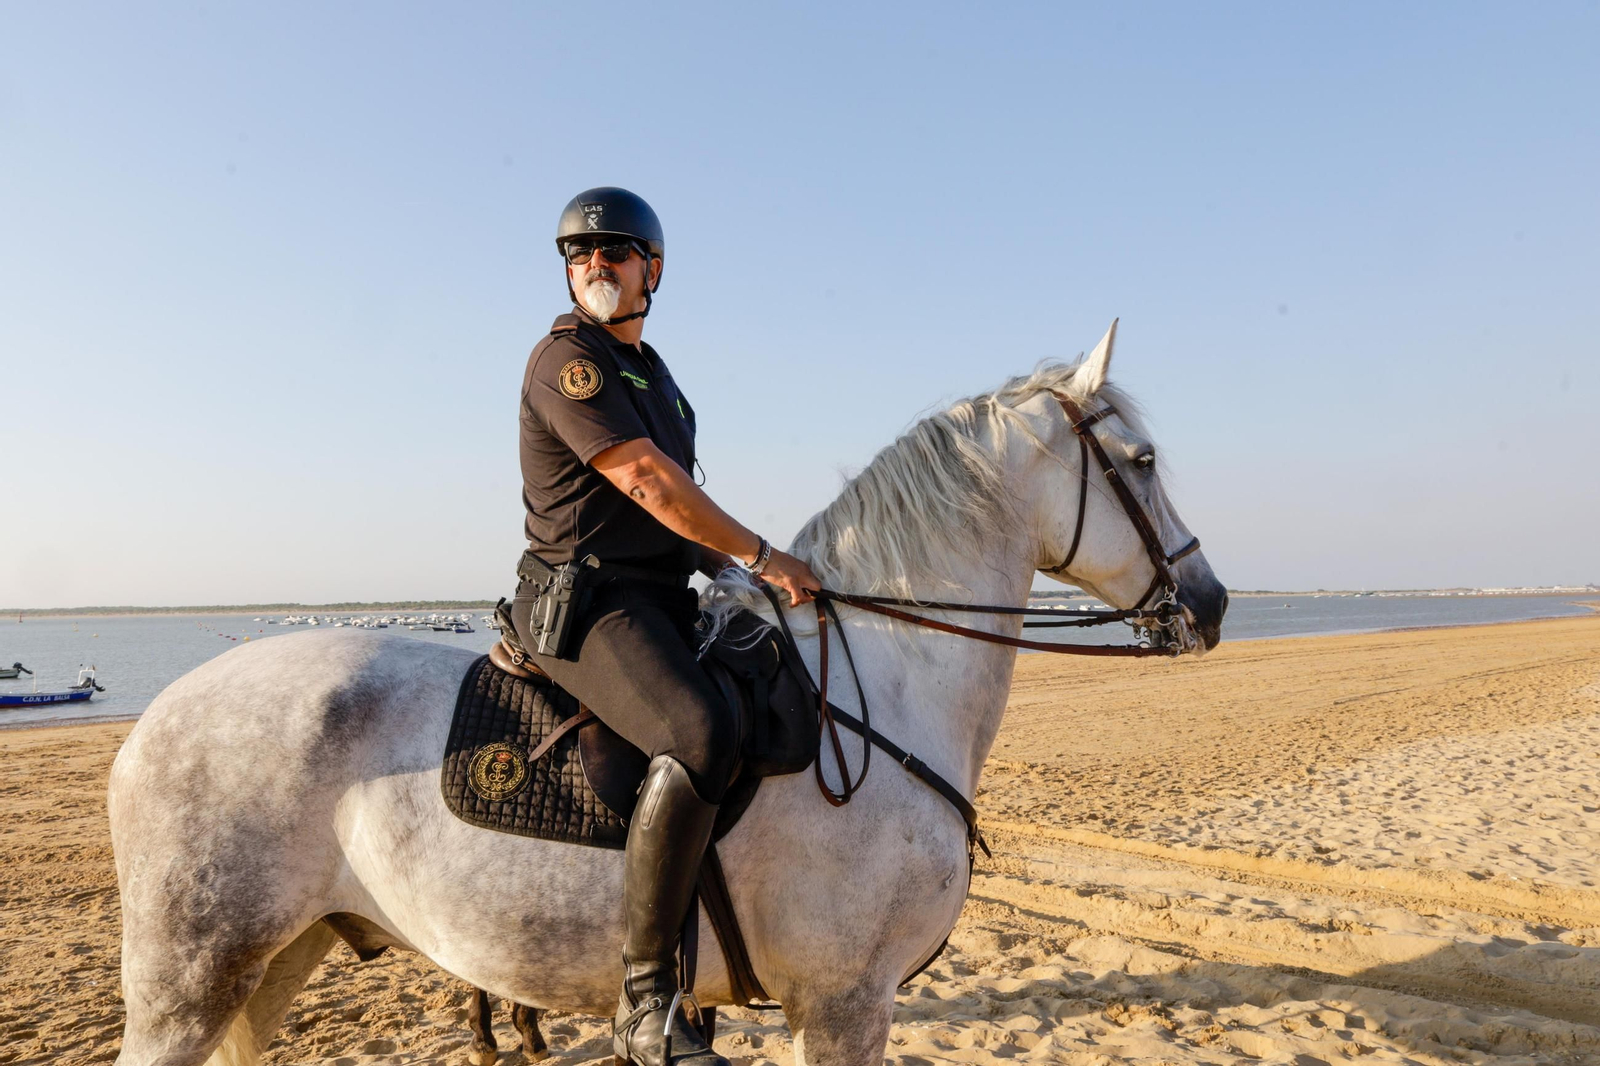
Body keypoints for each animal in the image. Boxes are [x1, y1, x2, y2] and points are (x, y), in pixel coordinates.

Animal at [108, 323, 1227, 1066]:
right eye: (1141, 460)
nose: (1212, 602)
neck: (885, 686)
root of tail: (150, 720)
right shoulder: (844, 1003)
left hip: (275, 962)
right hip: (190, 978)